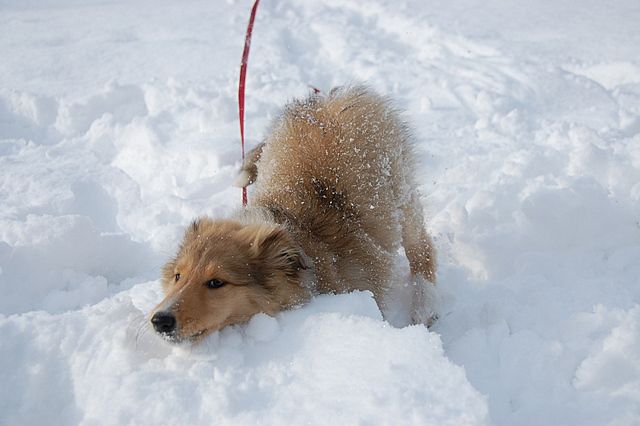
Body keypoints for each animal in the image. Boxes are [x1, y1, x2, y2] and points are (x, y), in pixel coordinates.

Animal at [151, 86, 438, 342]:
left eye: (216, 282)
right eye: (178, 276)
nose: (159, 320)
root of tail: (326, 99)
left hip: (402, 194)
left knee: (422, 248)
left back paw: (425, 308)